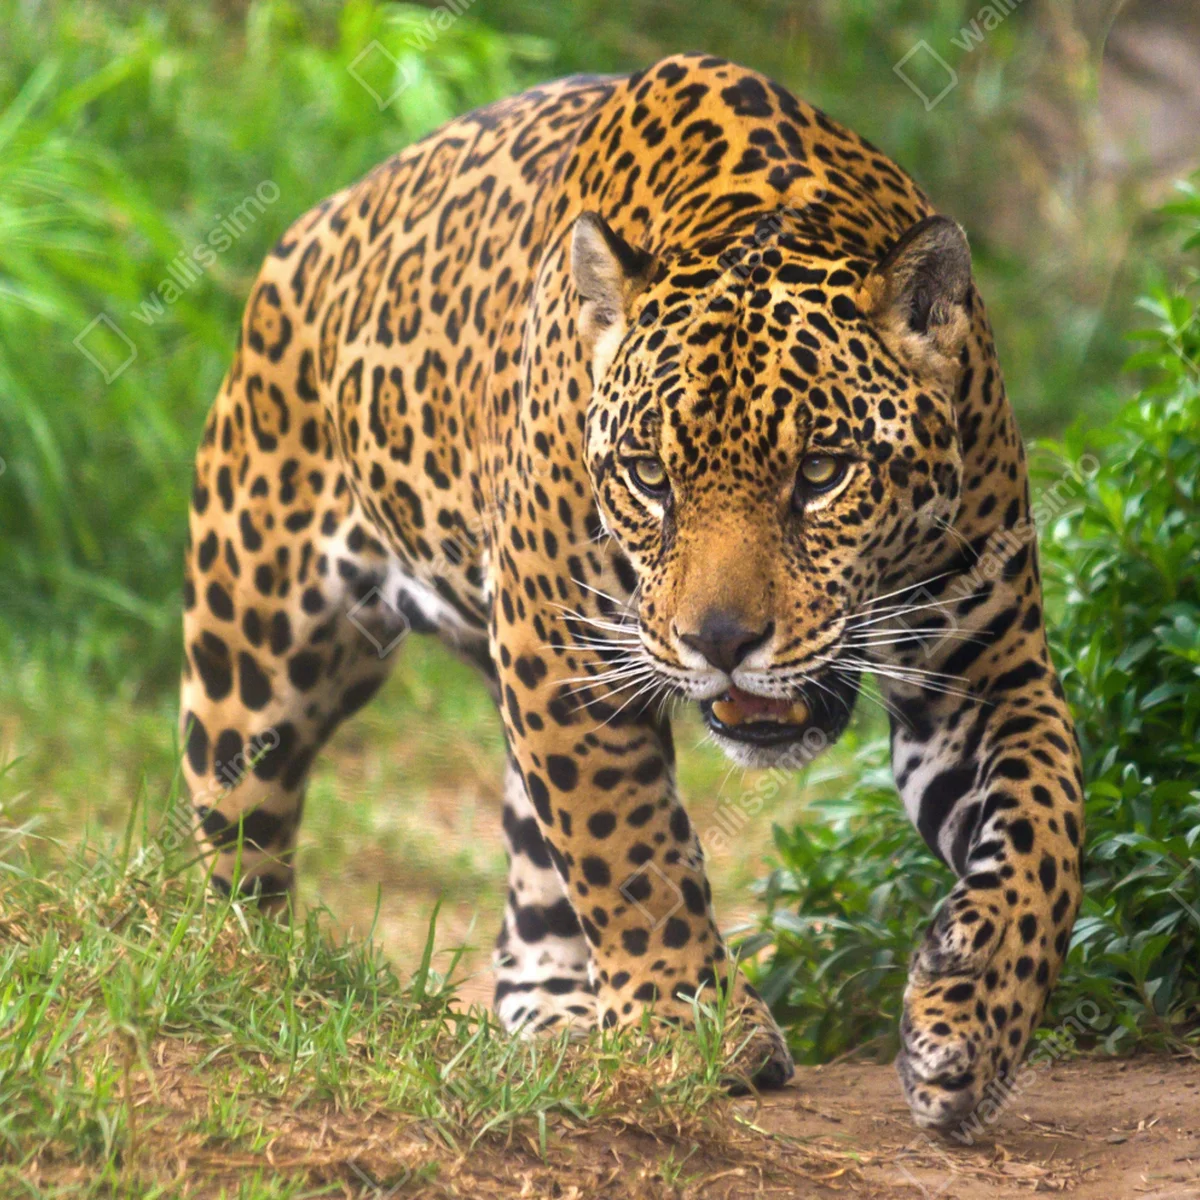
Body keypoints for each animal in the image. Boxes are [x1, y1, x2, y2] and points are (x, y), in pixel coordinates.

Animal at [180, 52, 1085, 1128]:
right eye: (650, 477)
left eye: (822, 472)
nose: (723, 641)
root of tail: (311, 228)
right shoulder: (561, 647)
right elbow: (628, 846)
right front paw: (693, 1025)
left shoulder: (985, 668)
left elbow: (1047, 829)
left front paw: (972, 1016)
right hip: (255, 655)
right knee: (236, 843)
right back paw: (246, 979)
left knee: (533, 889)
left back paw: (562, 1021)